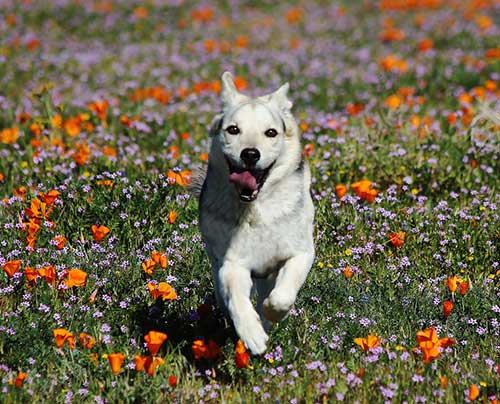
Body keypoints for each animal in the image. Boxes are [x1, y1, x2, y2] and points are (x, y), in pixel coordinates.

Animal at [198, 72, 312, 354]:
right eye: (233, 129)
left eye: (271, 132)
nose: (250, 154)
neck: (255, 208)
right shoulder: (232, 262)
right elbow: (237, 297)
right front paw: (252, 335)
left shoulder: (302, 252)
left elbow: (282, 294)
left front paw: (272, 312)